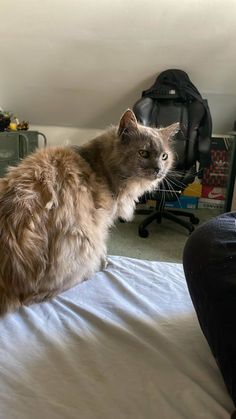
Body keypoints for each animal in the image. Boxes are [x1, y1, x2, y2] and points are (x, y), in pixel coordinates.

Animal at [0, 110, 178, 314]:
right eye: (144, 153)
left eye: (164, 156)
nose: (158, 169)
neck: (99, 164)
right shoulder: (101, 222)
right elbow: (103, 247)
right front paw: (105, 261)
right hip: (83, 237)